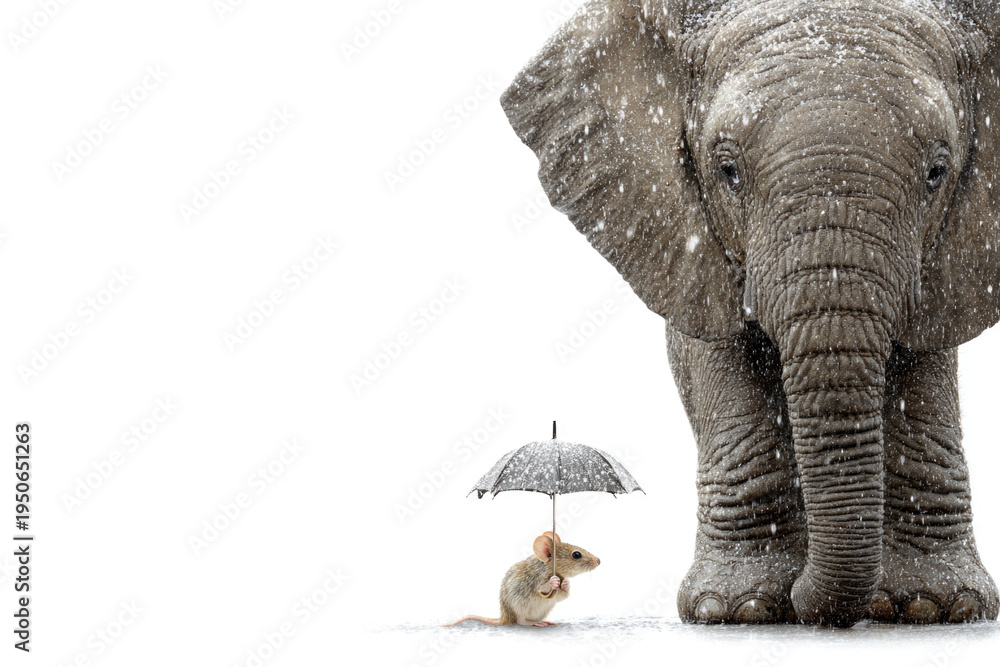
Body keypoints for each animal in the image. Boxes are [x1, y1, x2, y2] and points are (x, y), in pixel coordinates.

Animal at [500, 0, 1000, 626]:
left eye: (937, 172)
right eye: (728, 172)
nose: (808, 607)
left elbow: (921, 366)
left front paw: (937, 606)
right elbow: (718, 356)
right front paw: (741, 608)